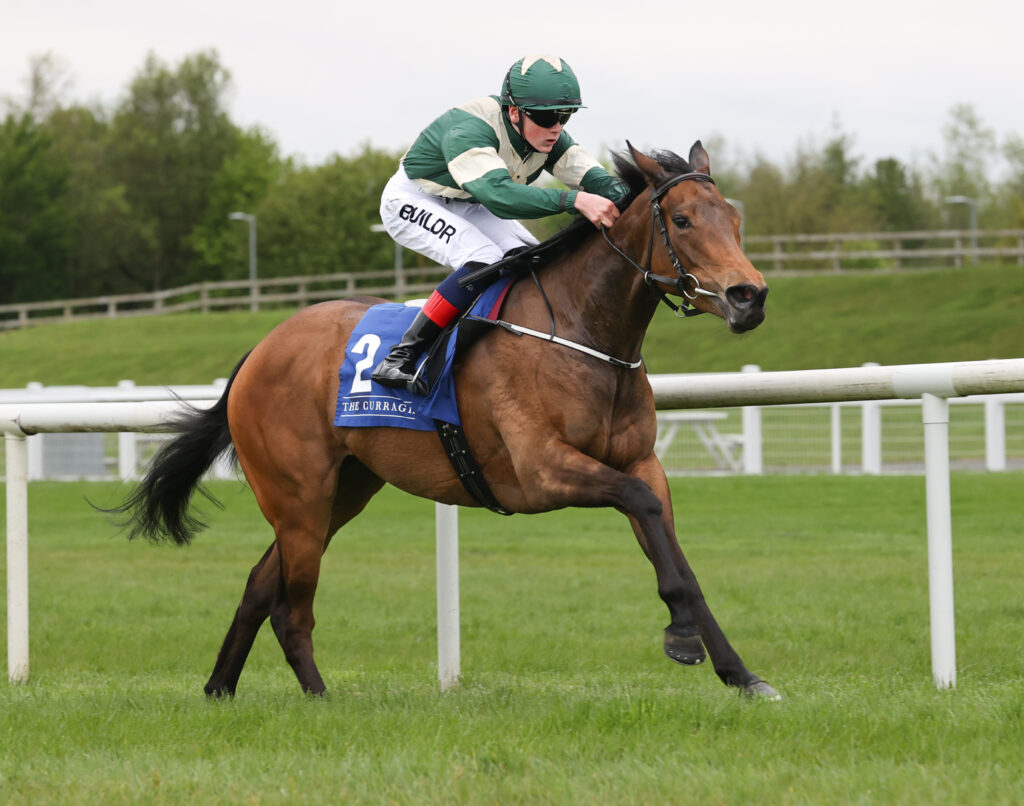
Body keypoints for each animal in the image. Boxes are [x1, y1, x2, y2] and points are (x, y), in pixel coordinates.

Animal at [114, 141, 777, 699]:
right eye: (683, 221)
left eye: (734, 219)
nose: (749, 296)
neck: (583, 331)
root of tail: (259, 349)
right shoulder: (543, 471)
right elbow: (640, 506)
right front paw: (682, 637)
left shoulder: (639, 461)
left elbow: (675, 551)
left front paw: (740, 674)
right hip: (298, 496)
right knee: (291, 606)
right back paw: (320, 697)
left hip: (341, 492)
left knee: (259, 584)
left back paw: (219, 688)